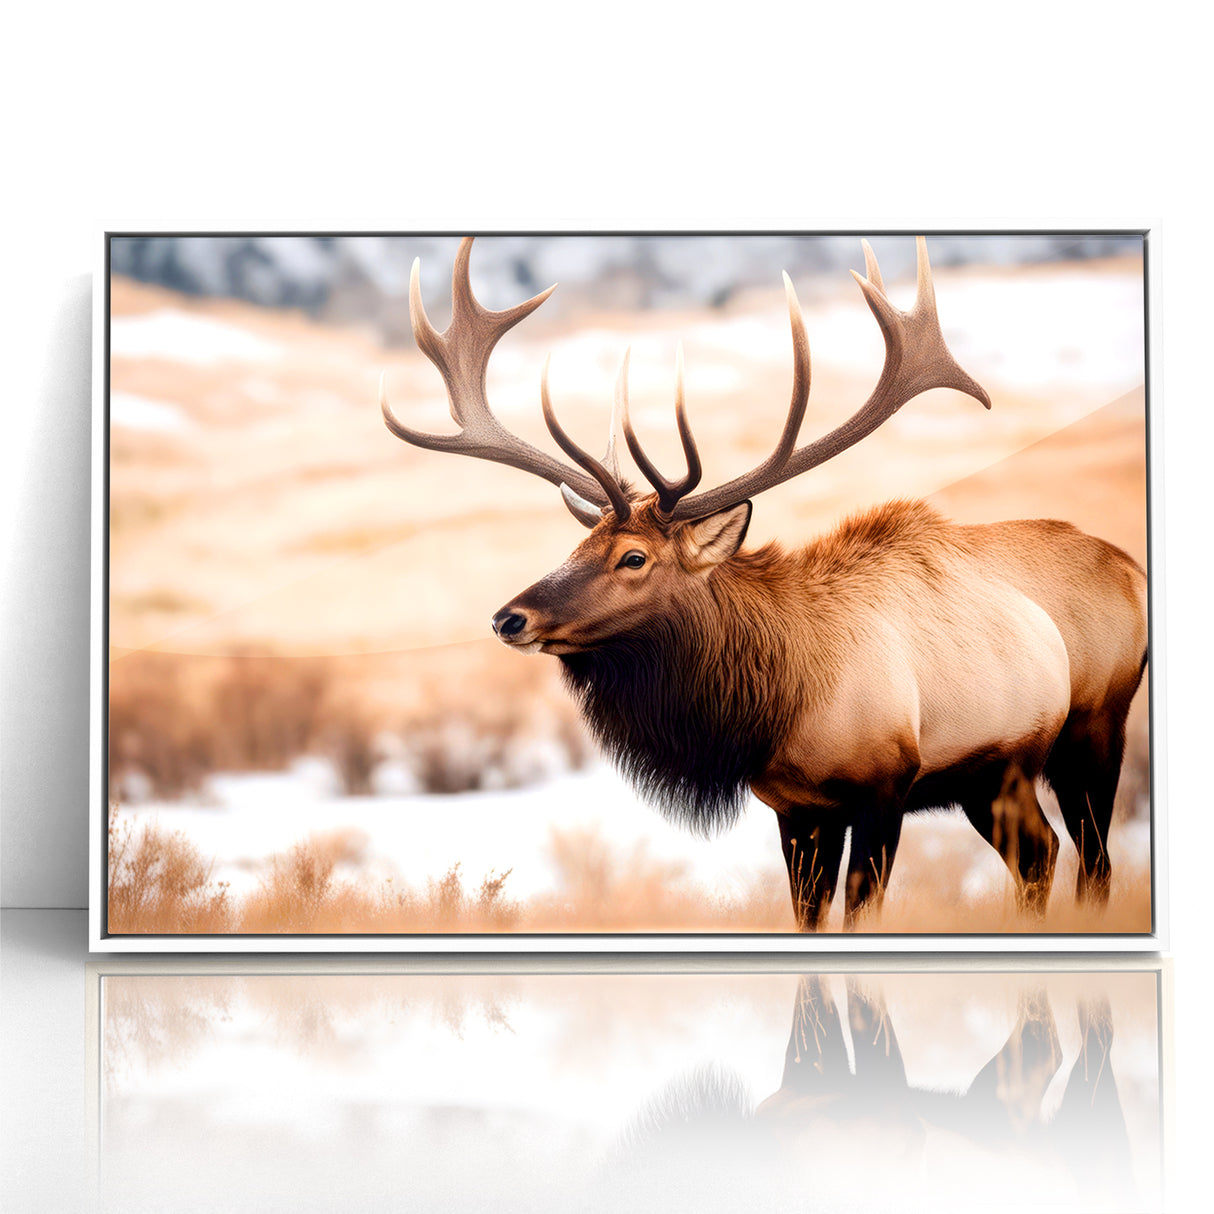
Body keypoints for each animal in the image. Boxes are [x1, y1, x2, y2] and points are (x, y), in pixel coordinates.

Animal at [380, 237, 1148, 931]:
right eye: (579, 542)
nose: (510, 617)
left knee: (1094, 857)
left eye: (634, 558)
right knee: (1042, 855)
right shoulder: (795, 806)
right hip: (991, 775)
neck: (779, 706)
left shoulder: (885, 784)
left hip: (1091, 728)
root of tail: (1132, 567)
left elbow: (860, 912)